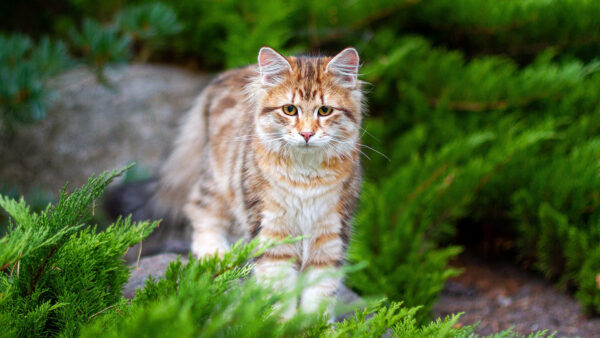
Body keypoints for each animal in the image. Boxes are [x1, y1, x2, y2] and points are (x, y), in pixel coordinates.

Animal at [106, 46, 364, 318]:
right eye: (290, 110)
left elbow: (320, 293)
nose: (306, 134)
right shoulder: (272, 229)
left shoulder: (330, 233)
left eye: (324, 111)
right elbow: (280, 289)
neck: (306, 178)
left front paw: (313, 324)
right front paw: (281, 322)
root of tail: (226, 74)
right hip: (217, 180)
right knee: (198, 208)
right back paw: (215, 254)